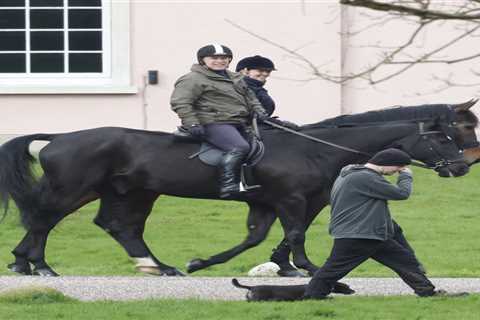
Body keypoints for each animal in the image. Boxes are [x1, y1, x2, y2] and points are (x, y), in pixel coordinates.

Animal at [0, 102, 476, 278]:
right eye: (444, 137)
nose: (462, 166)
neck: (316, 148)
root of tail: (60, 137)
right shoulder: (289, 199)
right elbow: (295, 233)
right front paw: (305, 267)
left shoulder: (272, 202)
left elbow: (260, 237)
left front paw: (209, 263)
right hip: (75, 188)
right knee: (44, 218)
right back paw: (36, 265)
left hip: (129, 192)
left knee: (119, 226)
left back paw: (158, 266)